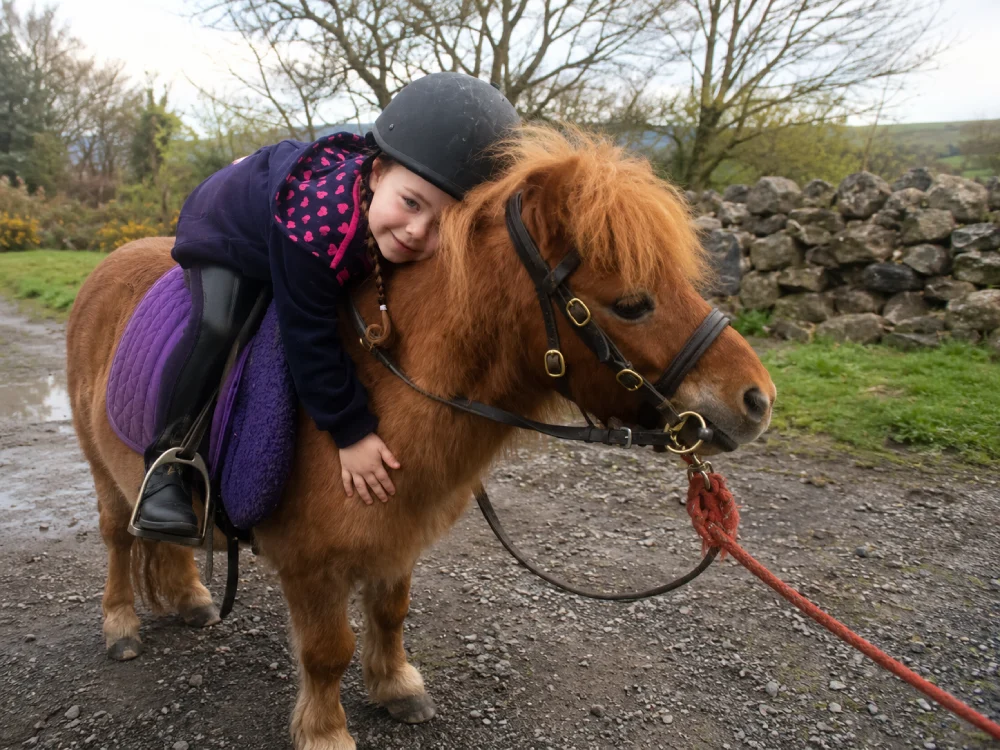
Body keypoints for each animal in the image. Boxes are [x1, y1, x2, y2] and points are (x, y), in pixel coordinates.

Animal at [66, 125, 775, 750]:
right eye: (632, 303)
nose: (758, 399)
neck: (386, 387)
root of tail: (109, 264)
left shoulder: (396, 538)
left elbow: (390, 614)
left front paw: (395, 687)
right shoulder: (310, 564)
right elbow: (327, 652)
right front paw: (326, 732)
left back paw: (191, 597)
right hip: (104, 473)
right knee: (118, 538)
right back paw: (121, 624)